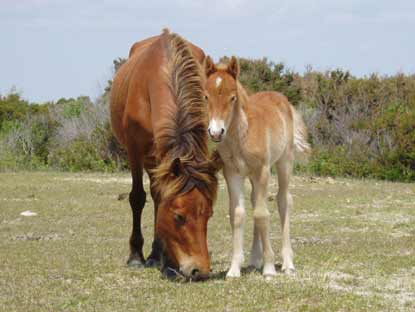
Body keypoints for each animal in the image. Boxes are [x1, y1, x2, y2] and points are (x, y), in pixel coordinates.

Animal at [109, 29, 221, 280]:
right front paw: (136, 256)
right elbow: (138, 197)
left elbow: (160, 199)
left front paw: (165, 258)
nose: (200, 270)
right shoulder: (135, 149)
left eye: (209, 215)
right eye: (179, 216)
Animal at [205, 56, 312, 278]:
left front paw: (269, 268)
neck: (242, 136)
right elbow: (238, 215)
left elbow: (263, 215)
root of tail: (284, 101)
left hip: (284, 163)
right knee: (256, 202)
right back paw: (255, 259)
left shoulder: (262, 171)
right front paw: (234, 269)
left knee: (283, 201)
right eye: (206, 96)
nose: (216, 132)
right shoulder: (232, 174)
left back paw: (287, 263)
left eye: (232, 97)